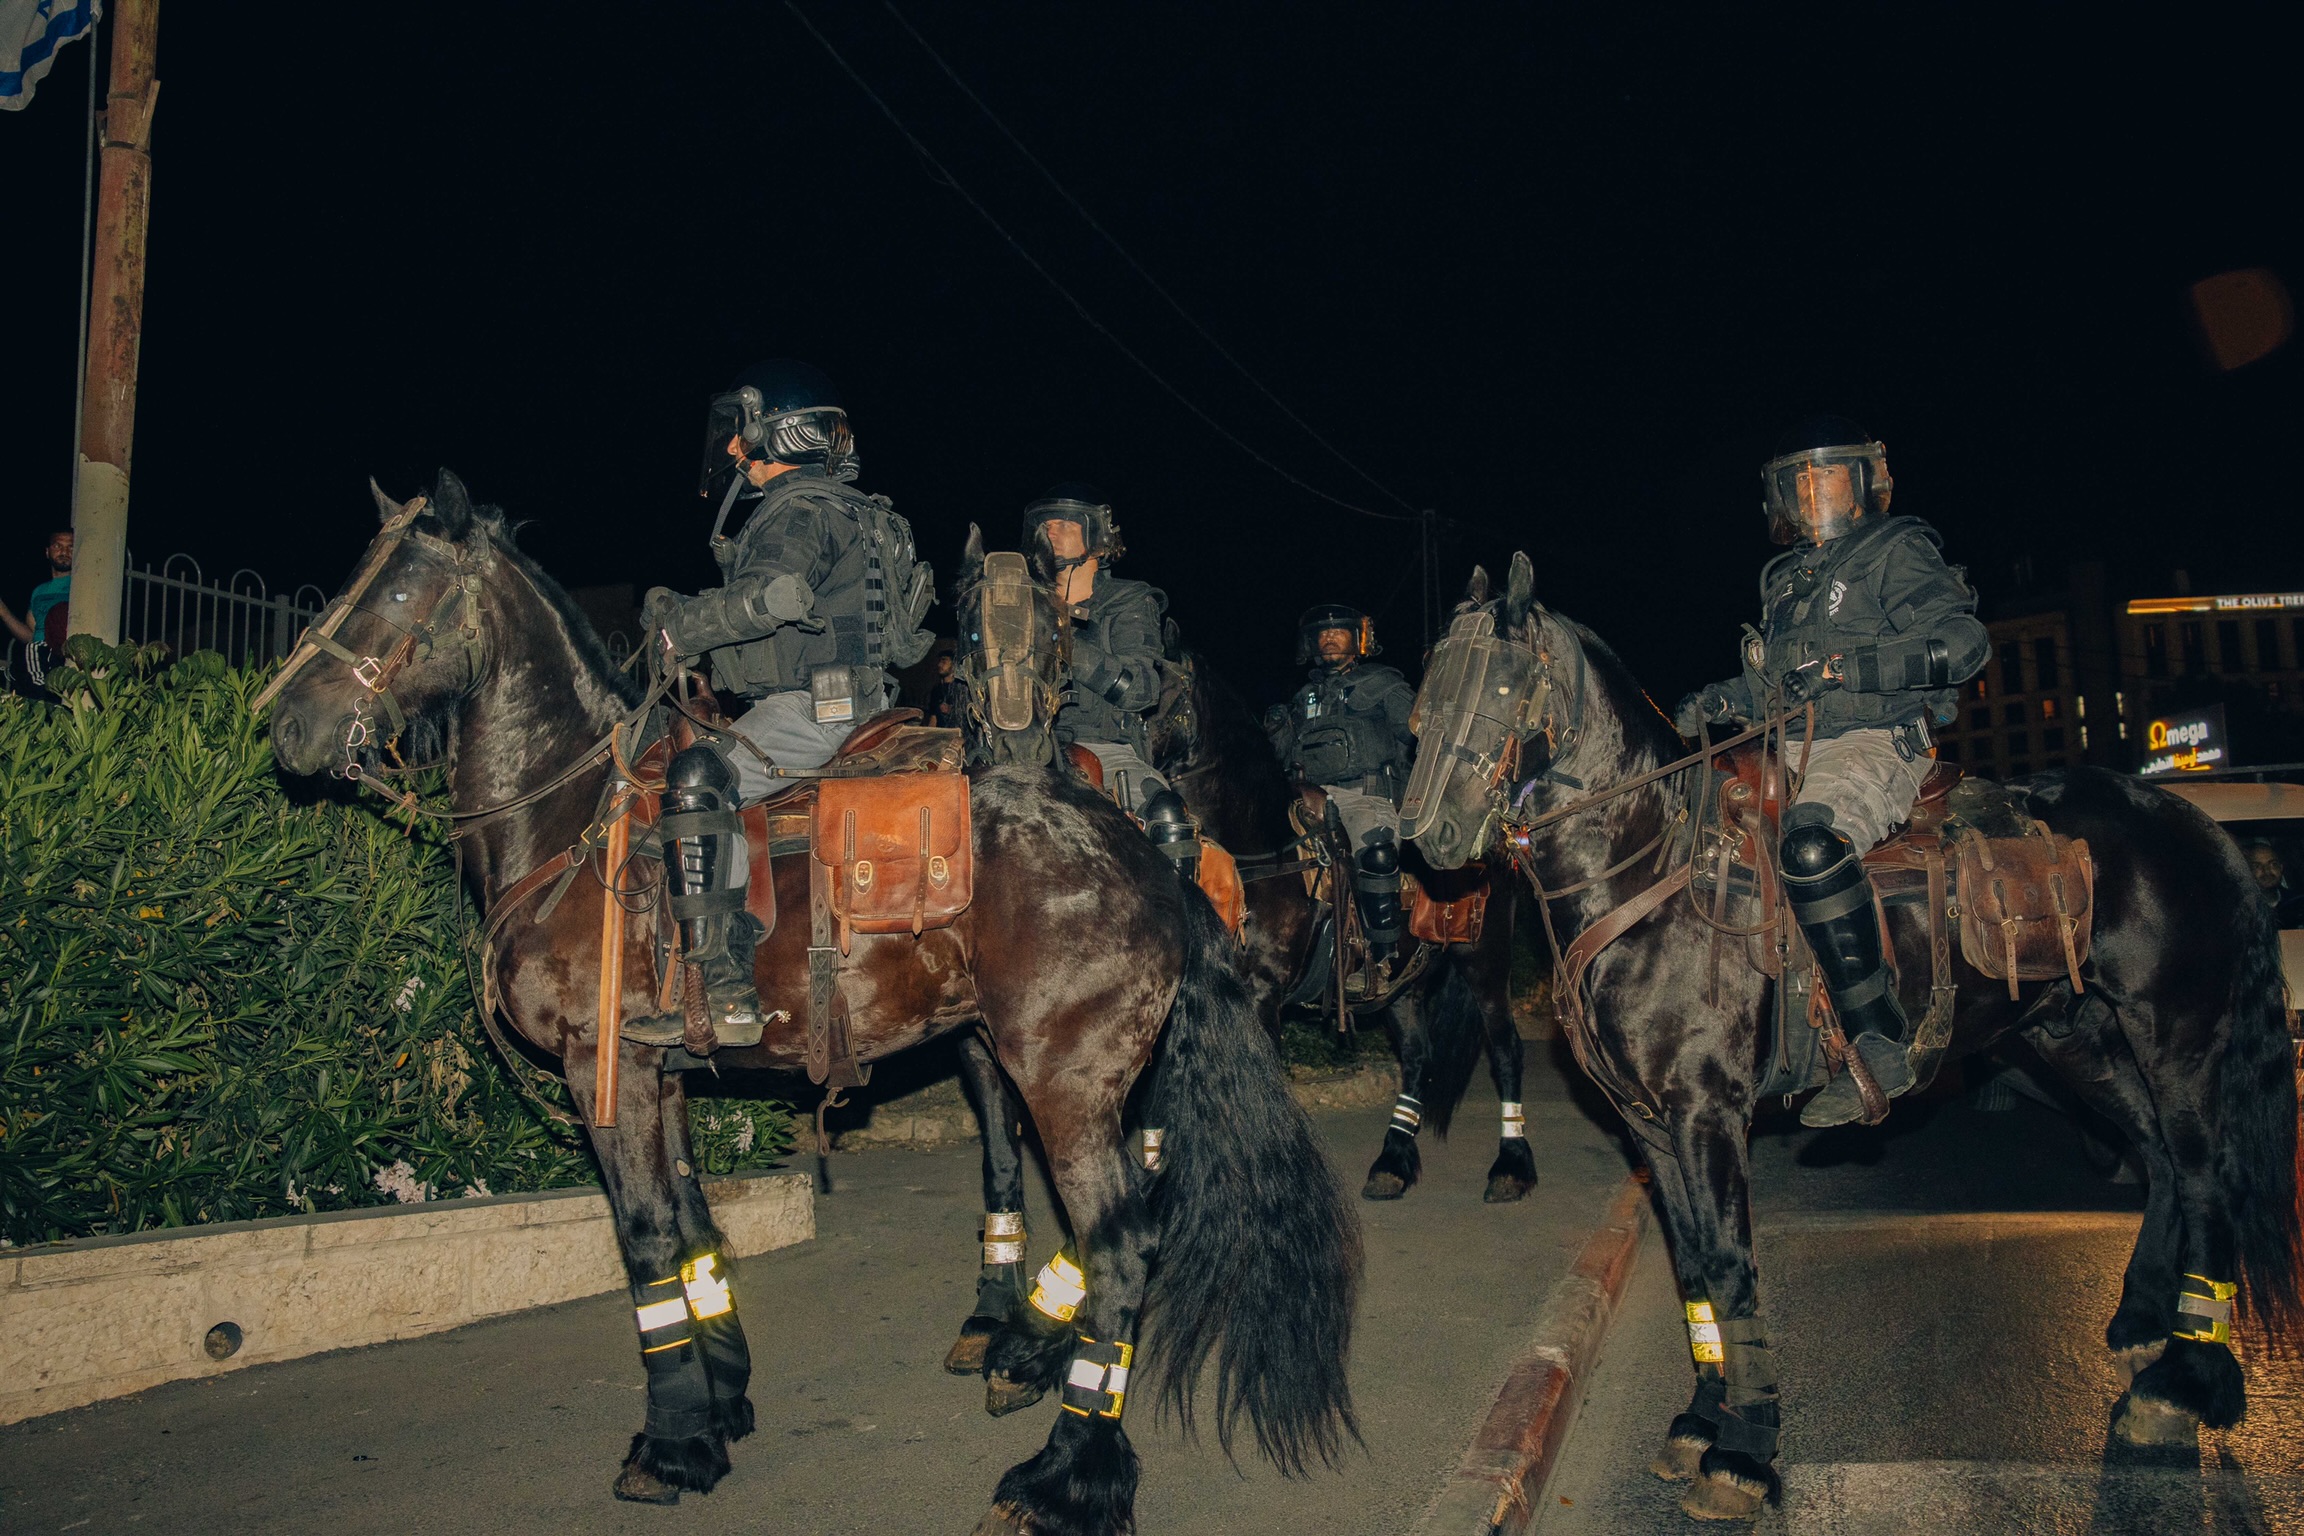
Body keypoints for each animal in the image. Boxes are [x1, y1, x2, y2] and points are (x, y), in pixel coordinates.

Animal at [263, 481, 1354, 1536]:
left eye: (399, 591)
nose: (288, 728)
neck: (570, 819)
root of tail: (1142, 849)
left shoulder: (601, 1070)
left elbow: (645, 1240)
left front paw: (672, 1444)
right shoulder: (662, 1074)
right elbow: (693, 1223)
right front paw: (720, 1399)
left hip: (1068, 1079)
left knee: (1123, 1248)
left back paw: (1064, 1476)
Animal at [1391, 554, 2294, 1529]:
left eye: (1502, 682)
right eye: (1426, 690)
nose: (1426, 835)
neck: (1654, 868)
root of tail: (2199, 826)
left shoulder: (1708, 1113)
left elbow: (1732, 1264)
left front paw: (1744, 1452)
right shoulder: (1649, 1125)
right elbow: (1693, 1268)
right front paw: (1702, 1418)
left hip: (2177, 1036)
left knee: (2205, 1177)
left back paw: (2185, 1383)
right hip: (2074, 1040)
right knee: (2159, 1158)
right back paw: (2142, 1329)